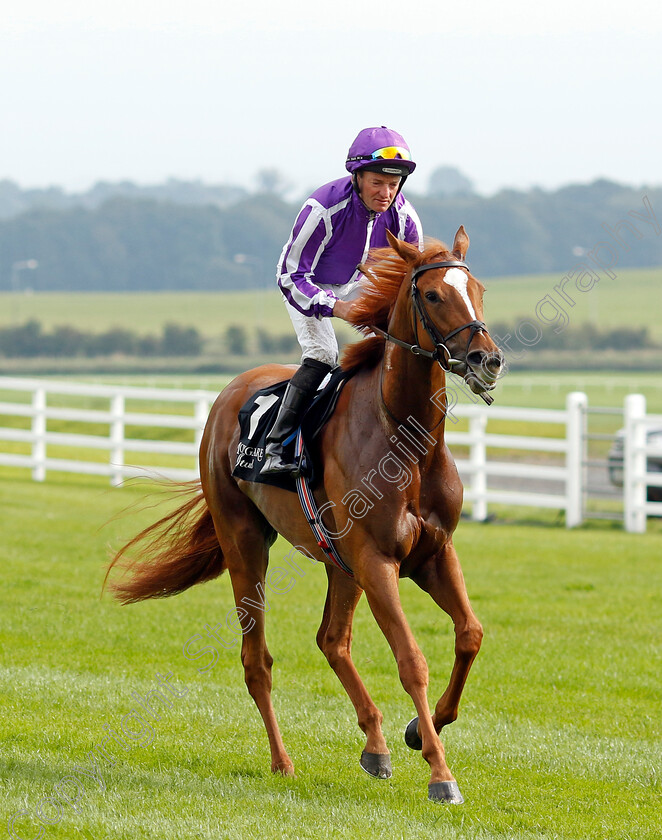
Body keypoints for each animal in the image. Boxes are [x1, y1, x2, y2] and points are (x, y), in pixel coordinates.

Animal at [107, 226, 504, 804]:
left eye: (477, 289)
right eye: (432, 295)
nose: (486, 359)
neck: (404, 441)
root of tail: (230, 393)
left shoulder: (433, 552)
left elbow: (470, 633)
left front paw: (417, 730)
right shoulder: (377, 560)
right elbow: (411, 660)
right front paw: (440, 774)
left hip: (340, 562)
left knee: (332, 640)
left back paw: (376, 745)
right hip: (247, 542)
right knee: (257, 661)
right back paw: (283, 761)